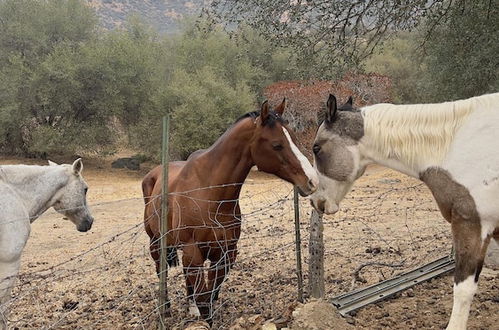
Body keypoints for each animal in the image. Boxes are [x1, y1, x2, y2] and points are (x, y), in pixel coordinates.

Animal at [143, 99, 318, 324]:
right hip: (156, 243)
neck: (210, 192)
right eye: (277, 144)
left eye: (294, 139)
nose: (312, 181)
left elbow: (210, 294)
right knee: (161, 271)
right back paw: (164, 309)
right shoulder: (193, 252)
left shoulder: (226, 253)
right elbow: (204, 298)